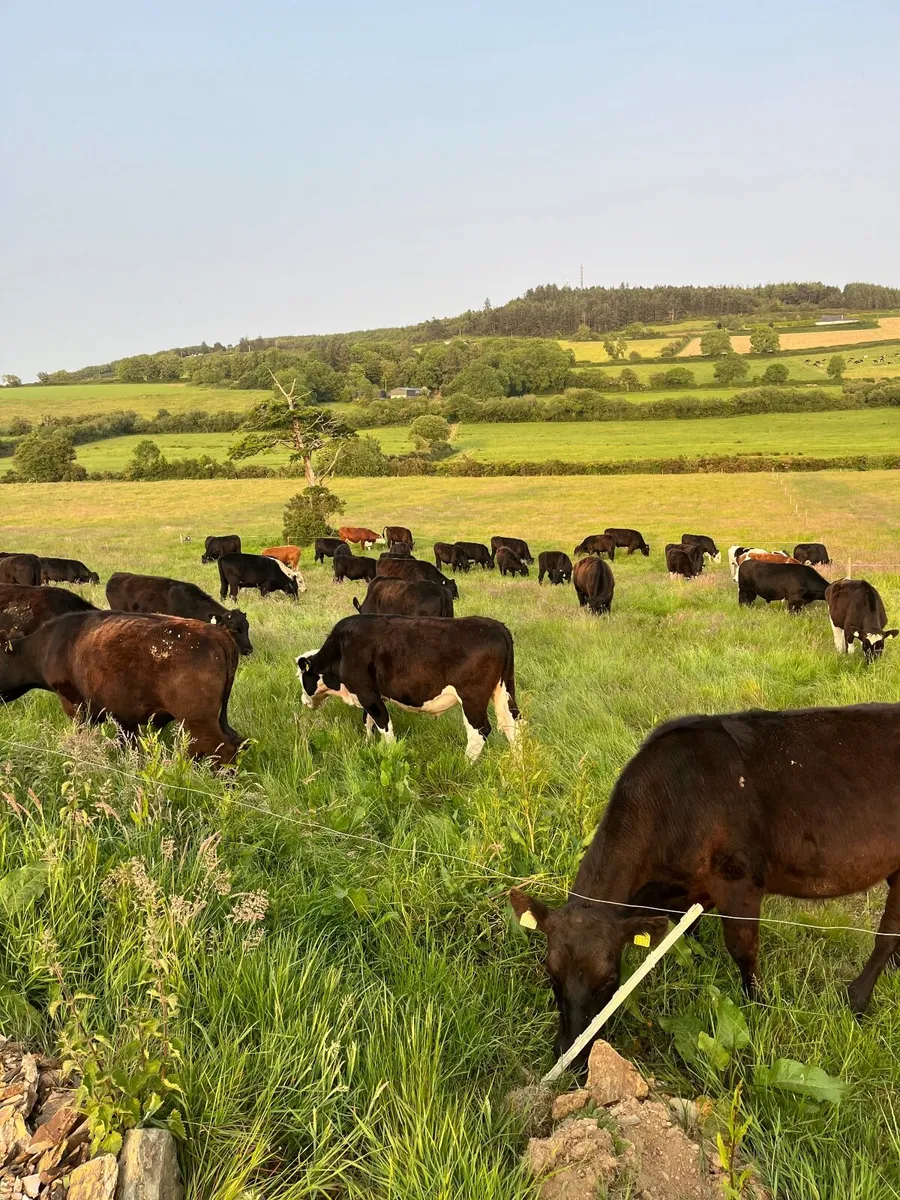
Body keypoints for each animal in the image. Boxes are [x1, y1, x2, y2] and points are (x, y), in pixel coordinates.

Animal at [0, 611, 243, 763]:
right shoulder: (124, 717)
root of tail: (220, 635)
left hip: (197, 720)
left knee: (222, 749)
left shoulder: (76, 707)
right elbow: (128, 743)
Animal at [295, 615, 518, 761]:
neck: (341, 649)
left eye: (300, 676)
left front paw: (391, 753)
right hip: (505, 690)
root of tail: (497, 627)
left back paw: (465, 764)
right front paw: (368, 744)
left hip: (472, 697)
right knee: (513, 724)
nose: (303, 701)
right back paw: (518, 763)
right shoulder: (370, 695)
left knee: (479, 731)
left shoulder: (367, 693)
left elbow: (384, 726)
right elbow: (368, 721)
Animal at [509, 700, 900, 1061]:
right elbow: (688, 933)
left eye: (608, 980)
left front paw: (758, 1004)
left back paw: (856, 999)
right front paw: (698, 967)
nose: (571, 1056)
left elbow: (743, 948)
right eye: (551, 974)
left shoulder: (738, 880)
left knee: (886, 935)